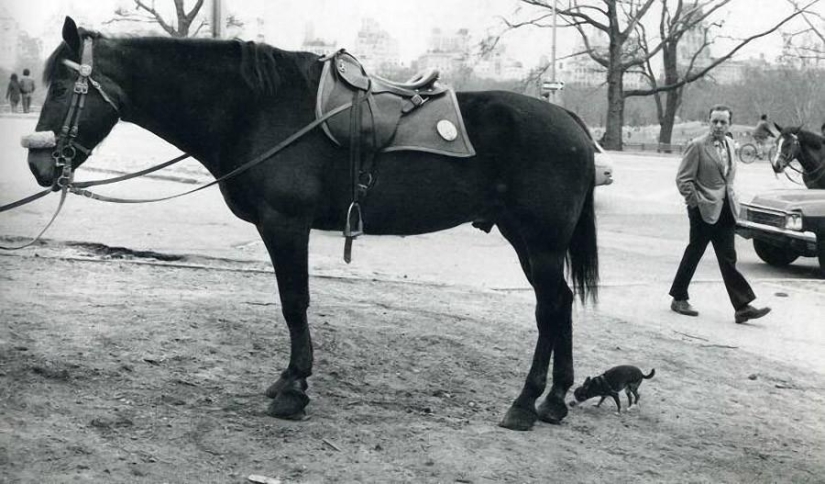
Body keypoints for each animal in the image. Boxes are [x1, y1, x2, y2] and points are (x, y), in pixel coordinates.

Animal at [22, 17, 596, 432]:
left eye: (63, 87)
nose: (39, 164)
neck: (257, 109)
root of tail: (569, 121)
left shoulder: (285, 224)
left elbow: (294, 301)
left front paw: (294, 389)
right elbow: (290, 301)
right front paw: (288, 382)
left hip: (540, 241)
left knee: (549, 308)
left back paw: (524, 403)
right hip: (526, 240)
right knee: (561, 304)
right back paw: (553, 401)